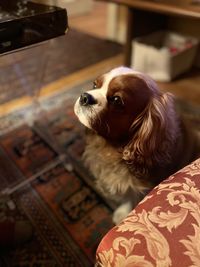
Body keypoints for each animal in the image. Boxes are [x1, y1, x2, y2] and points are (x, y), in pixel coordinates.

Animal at [74, 66, 200, 225]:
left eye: (116, 100)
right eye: (95, 85)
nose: (85, 97)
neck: (112, 147)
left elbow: (131, 196)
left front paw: (123, 213)